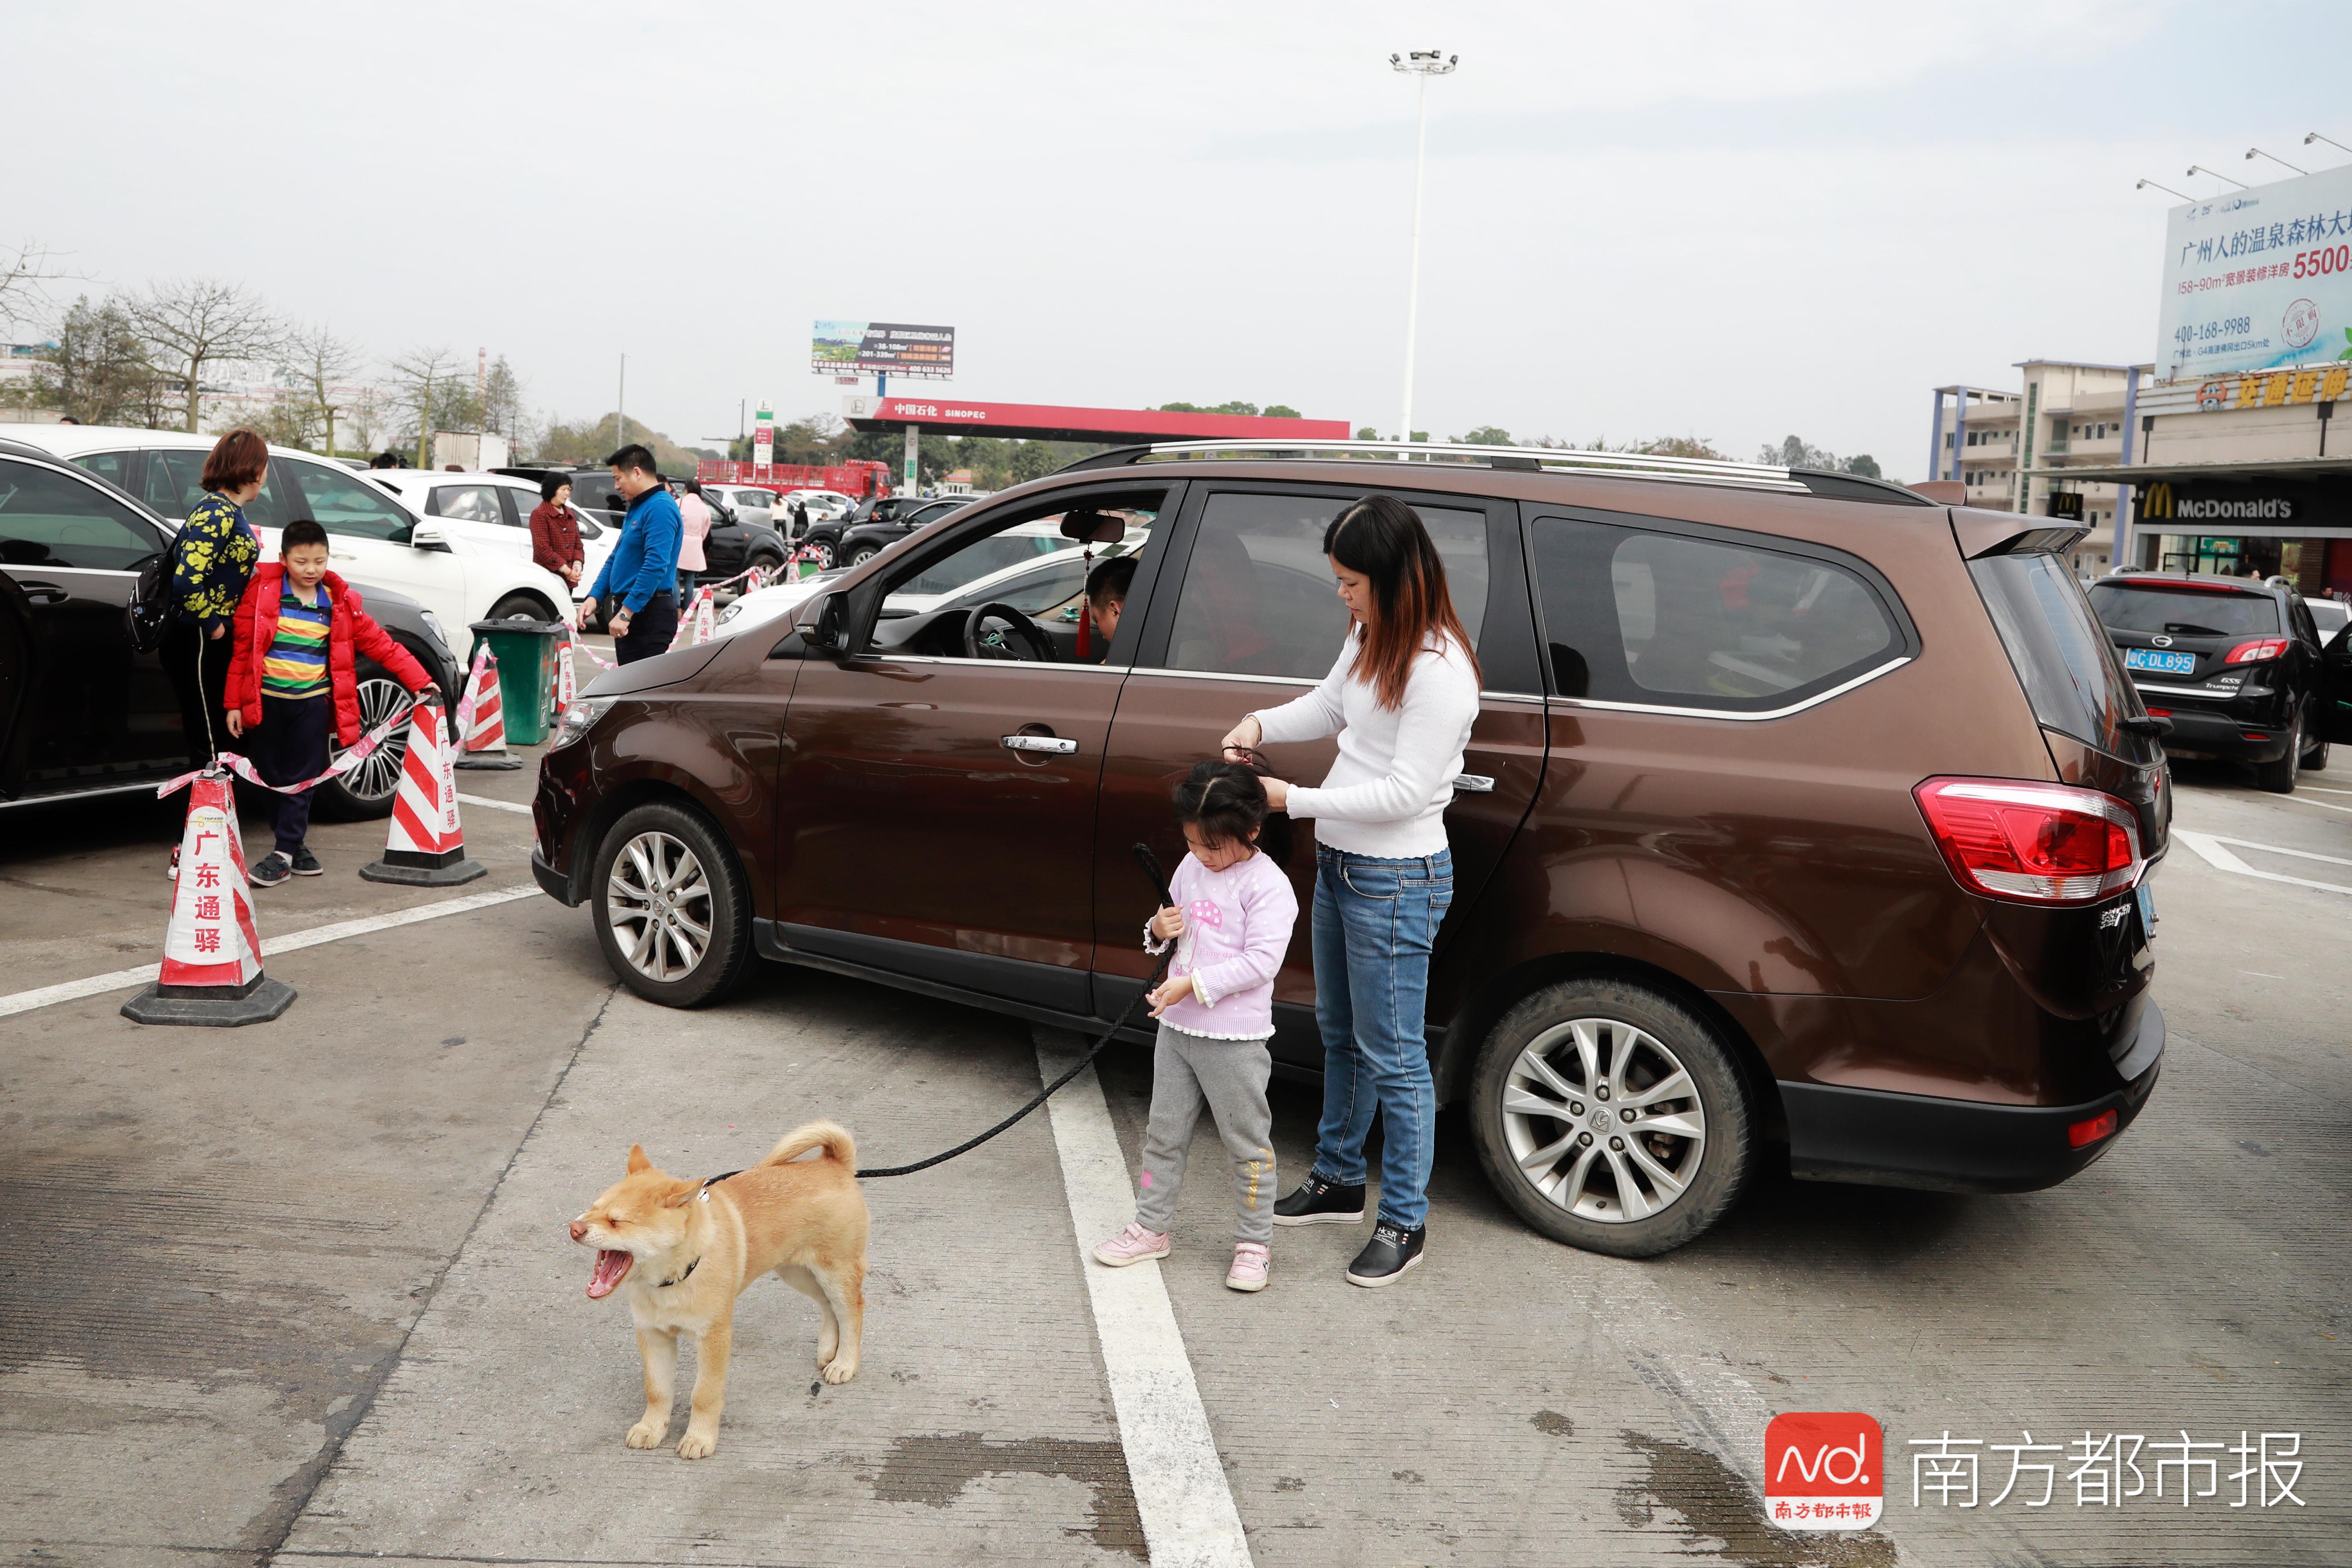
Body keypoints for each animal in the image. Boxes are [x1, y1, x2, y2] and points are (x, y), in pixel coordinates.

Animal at [564, 1123, 870, 1458]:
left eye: (617, 1221)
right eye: (593, 1209)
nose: (574, 1228)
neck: (676, 1276)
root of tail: (834, 1164)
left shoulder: (714, 1339)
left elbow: (704, 1394)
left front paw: (699, 1438)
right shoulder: (652, 1335)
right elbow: (657, 1390)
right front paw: (651, 1429)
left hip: (835, 1271)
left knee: (851, 1309)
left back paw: (845, 1363)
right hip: (796, 1272)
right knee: (828, 1306)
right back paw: (829, 1349)